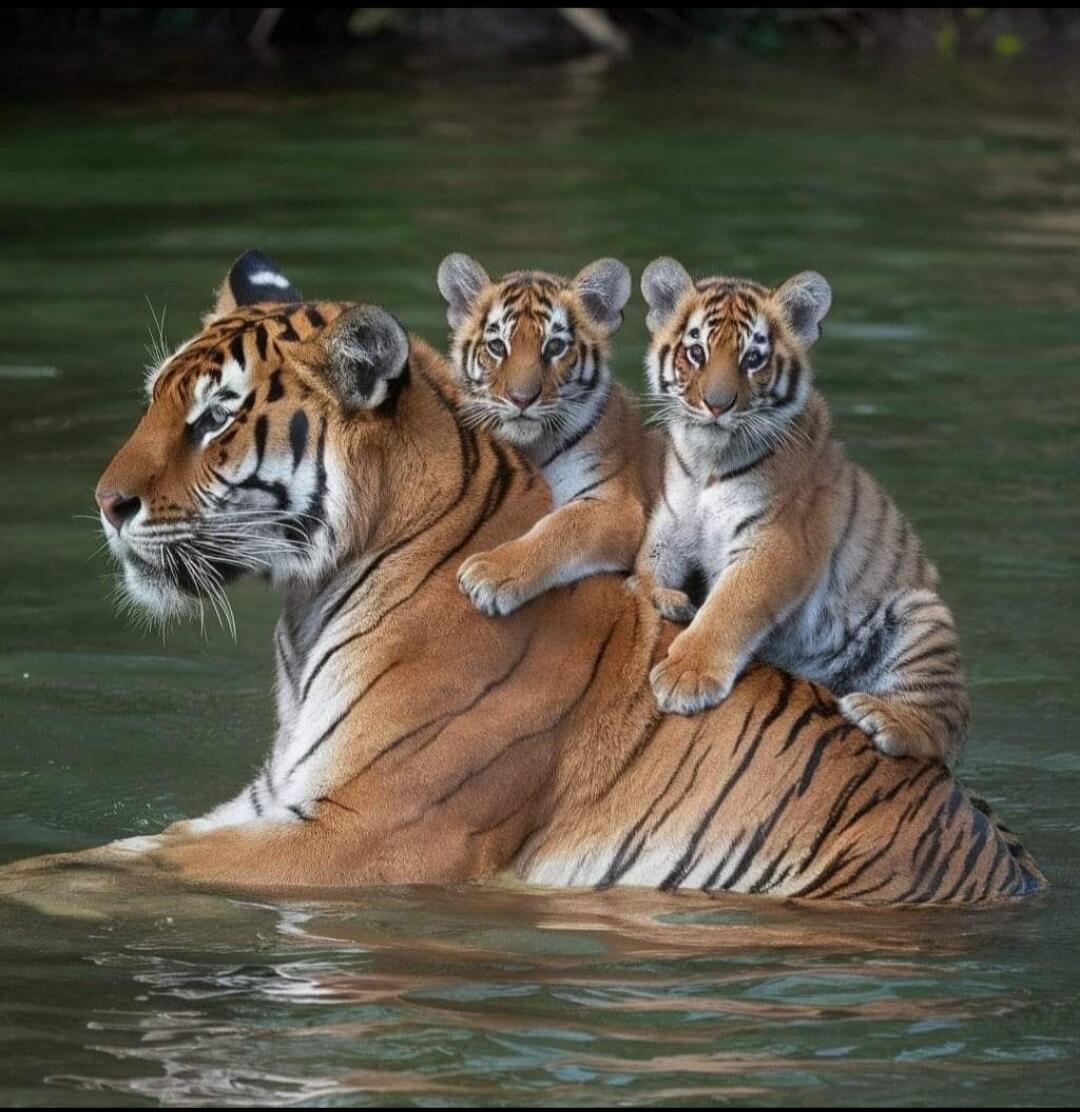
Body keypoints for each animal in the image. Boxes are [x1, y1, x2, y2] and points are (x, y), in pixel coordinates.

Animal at [436, 253, 660, 616]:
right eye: (497, 346)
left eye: (554, 346)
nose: (521, 398)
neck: (533, 448)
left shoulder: (616, 504)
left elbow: (560, 528)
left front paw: (490, 574)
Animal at [637, 257, 969, 767]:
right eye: (696, 352)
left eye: (753, 359)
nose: (717, 405)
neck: (707, 458)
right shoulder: (672, 526)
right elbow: (647, 563)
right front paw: (662, 596)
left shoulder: (779, 541)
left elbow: (731, 605)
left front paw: (686, 676)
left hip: (919, 616)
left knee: (944, 726)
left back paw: (884, 717)